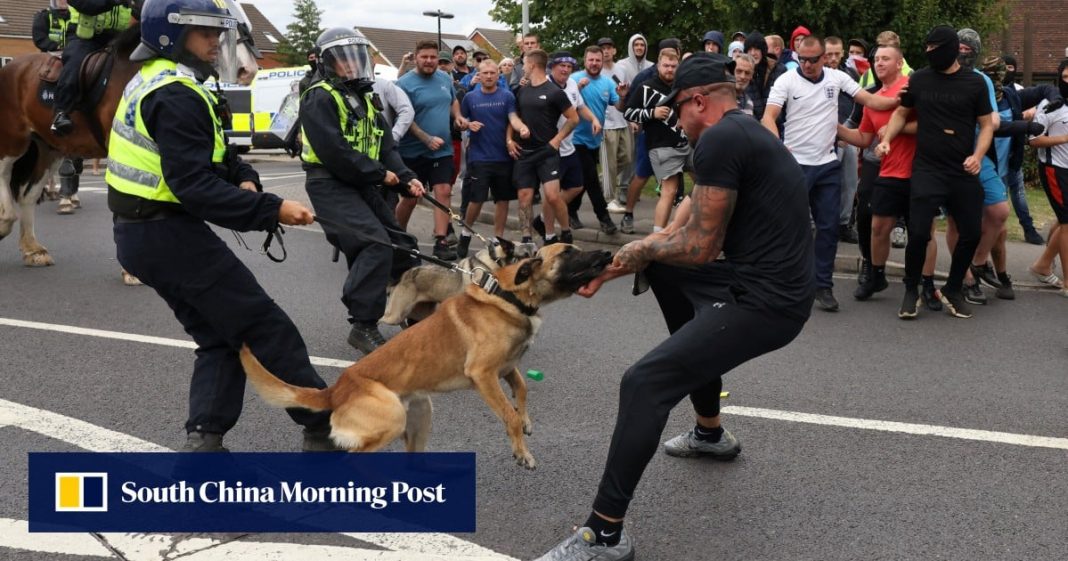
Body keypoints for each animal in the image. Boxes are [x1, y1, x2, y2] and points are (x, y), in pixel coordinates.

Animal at [0, 0, 260, 268]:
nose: (248, 70)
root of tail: (12, 67)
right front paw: (132, 270)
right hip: (13, 139)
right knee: (5, 175)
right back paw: (6, 220)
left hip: (48, 148)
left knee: (28, 195)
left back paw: (33, 249)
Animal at [239, 244, 615, 468]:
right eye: (568, 253)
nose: (609, 256)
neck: (508, 294)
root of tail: (336, 389)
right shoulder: (484, 375)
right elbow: (506, 414)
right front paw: (521, 450)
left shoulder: (508, 368)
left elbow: (521, 390)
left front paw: (526, 421)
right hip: (392, 417)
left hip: (420, 415)